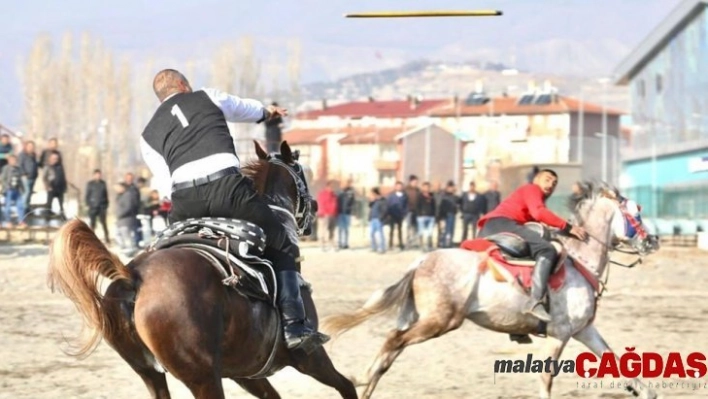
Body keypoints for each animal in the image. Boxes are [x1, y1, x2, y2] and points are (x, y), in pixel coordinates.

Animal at [47, 141, 356, 399]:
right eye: (301, 171)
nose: (315, 205)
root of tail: (133, 277)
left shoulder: (246, 374)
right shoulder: (310, 356)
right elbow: (347, 385)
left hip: (152, 374)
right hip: (204, 378)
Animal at [324, 182, 660, 399]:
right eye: (636, 213)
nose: (653, 240)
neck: (580, 260)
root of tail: (422, 260)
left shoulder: (583, 330)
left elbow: (615, 360)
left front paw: (643, 390)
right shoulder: (560, 333)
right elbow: (546, 376)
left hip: (420, 318)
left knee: (391, 348)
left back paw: (365, 384)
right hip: (440, 321)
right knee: (394, 341)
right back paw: (362, 380)